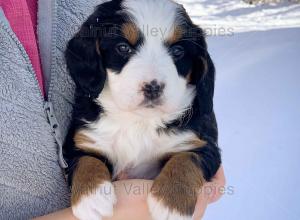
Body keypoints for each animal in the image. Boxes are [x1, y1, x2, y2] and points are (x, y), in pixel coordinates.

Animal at [63, 0, 220, 220]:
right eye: (123, 48)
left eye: (178, 51)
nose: (153, 87)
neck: (138, 122)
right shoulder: (81, 140)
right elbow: (87, 160)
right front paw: (92, 198)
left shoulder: (202, 144)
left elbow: (185, 159)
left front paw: (170, 204)